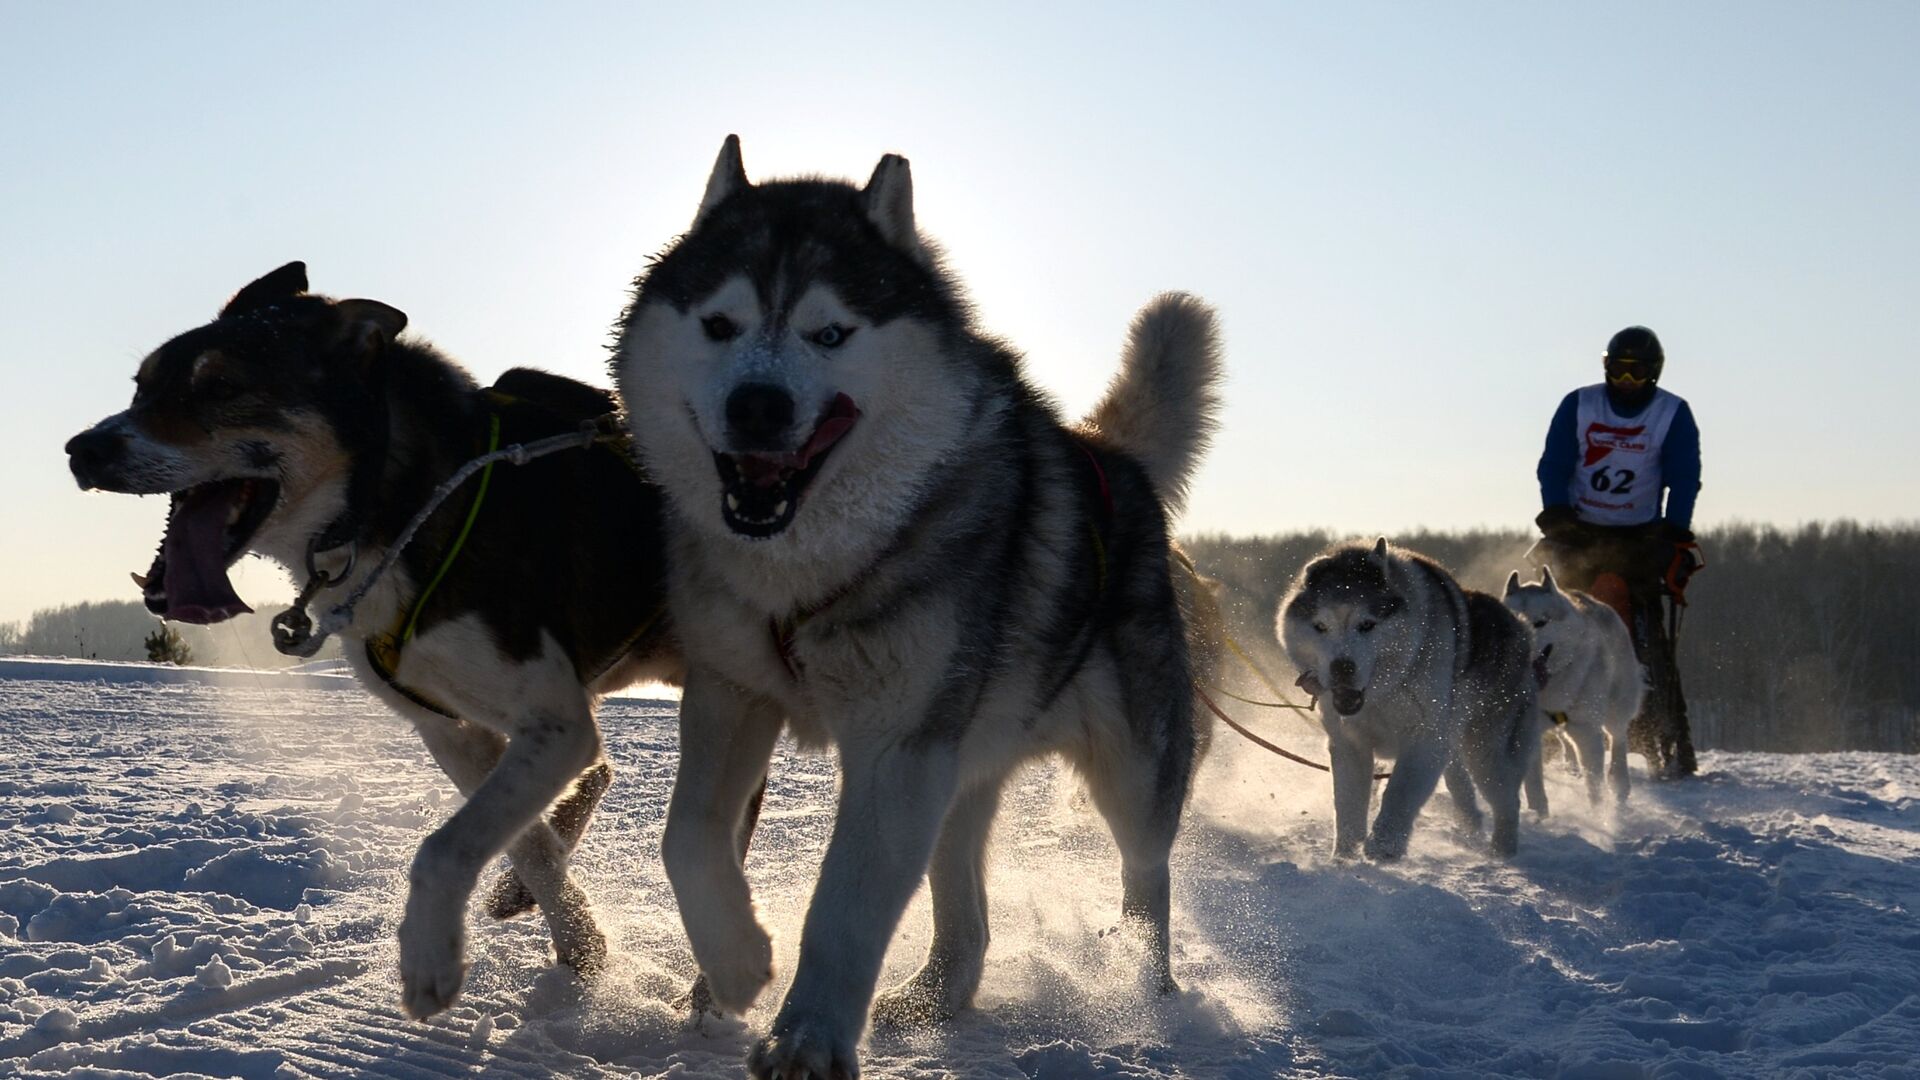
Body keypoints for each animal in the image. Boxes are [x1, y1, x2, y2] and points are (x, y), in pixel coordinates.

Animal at [65, 263, 683, 1014]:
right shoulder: (455, 730)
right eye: (141, 387)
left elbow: (445, 847)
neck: (404, 504)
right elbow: (526, 844)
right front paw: (581, 946)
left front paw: (429, 957)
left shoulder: (556, 722)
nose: (83, 449)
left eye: (221, 388)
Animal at [606, 136, 1221, 1076]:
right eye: (719, 325)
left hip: (1130, 770)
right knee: (966, 910)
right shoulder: (728, 696)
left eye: (830, 333)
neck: (817, 566)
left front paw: (807, 1038)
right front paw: (738, 963)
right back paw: (936, 997)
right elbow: (687, 840)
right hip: (960, 774)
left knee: (1146, 879)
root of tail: (1109, 456)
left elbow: (842, 911)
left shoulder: (897, 751)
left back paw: (1140, 993)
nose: (758, 404)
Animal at [1282, 538, 1536, 857]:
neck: (1383, 693)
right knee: (1463, 788)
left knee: (1507, 800)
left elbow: (1399, 793)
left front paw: (1383, 847)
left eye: (1367, 624)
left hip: (1484, 752)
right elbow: (1348, 803)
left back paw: (1501, 850)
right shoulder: (1349, 744)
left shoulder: (1423, 740)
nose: (1341, 669)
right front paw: (1345, 855)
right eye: (1320, 626)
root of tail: (1520, 625)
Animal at [1505, 564, 1643, 807]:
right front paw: (1539, 814)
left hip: (1616, 709)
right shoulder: (1526, 735)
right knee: (1565, 740)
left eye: (1540, 623)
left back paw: (1619, 785)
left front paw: (1600, 814)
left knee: (1617, 739)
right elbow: (1535, 790)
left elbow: (1595, 789)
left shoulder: (1587, 732)